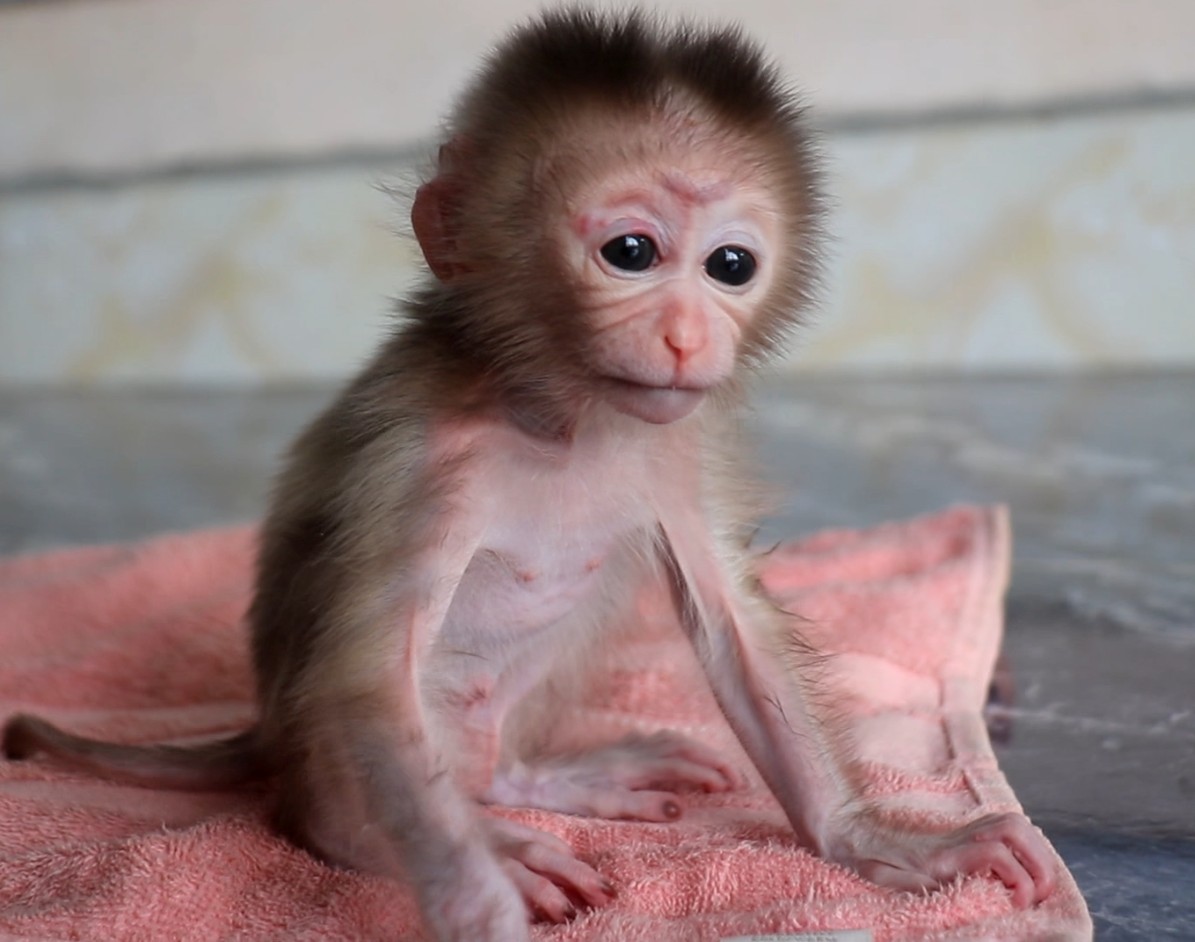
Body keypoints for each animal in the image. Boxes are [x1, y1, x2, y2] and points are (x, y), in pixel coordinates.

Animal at [2, 9, 1056, 941]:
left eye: (729, 265)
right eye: (629, 252)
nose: (685, 337)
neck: (560, 419)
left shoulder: (675, 446)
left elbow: (731, 629)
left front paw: (877, 842)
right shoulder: (420, 451)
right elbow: (368, 664)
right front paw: (474, 898)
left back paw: (534, 783)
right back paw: (383, 836)